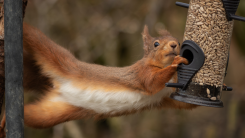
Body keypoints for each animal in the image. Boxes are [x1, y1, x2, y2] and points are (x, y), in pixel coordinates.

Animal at [0, 22, 196, 130]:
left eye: (178, 42)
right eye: (156, 44)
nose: (174, 45)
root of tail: (58, 86)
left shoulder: (166, 97)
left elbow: (185, 105)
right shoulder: (141, 74)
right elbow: (151, 83)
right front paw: (176, 62)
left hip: (52, 113)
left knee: (32, 115)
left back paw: (5, 120)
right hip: (54, 53)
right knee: (33, 36)